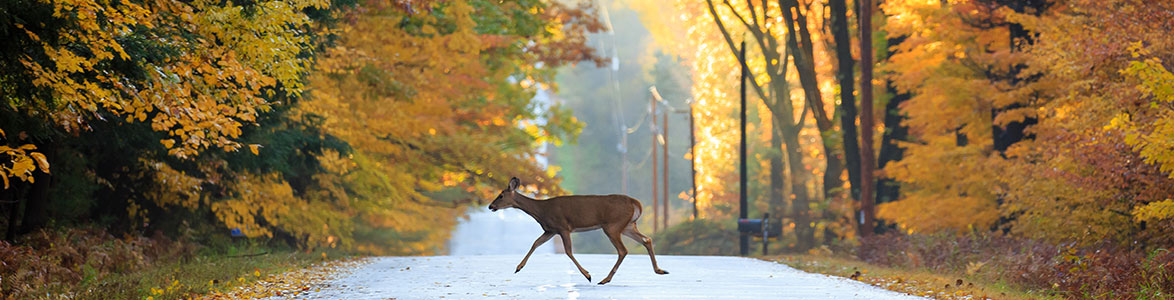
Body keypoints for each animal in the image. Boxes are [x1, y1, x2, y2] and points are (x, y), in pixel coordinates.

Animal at [486, 176, 671, 284]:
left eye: (501, 195)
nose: (490, 206)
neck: (541, 211)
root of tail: (636, 203)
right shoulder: (550, 230)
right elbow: (535, 243)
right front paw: (519, 267)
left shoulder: (562, 226)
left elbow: (568, 251)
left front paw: (587, 275)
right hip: (627, 225)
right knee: (647, 239)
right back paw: (660, 270)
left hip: (612, 225)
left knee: (623, 250)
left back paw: (605, 279)